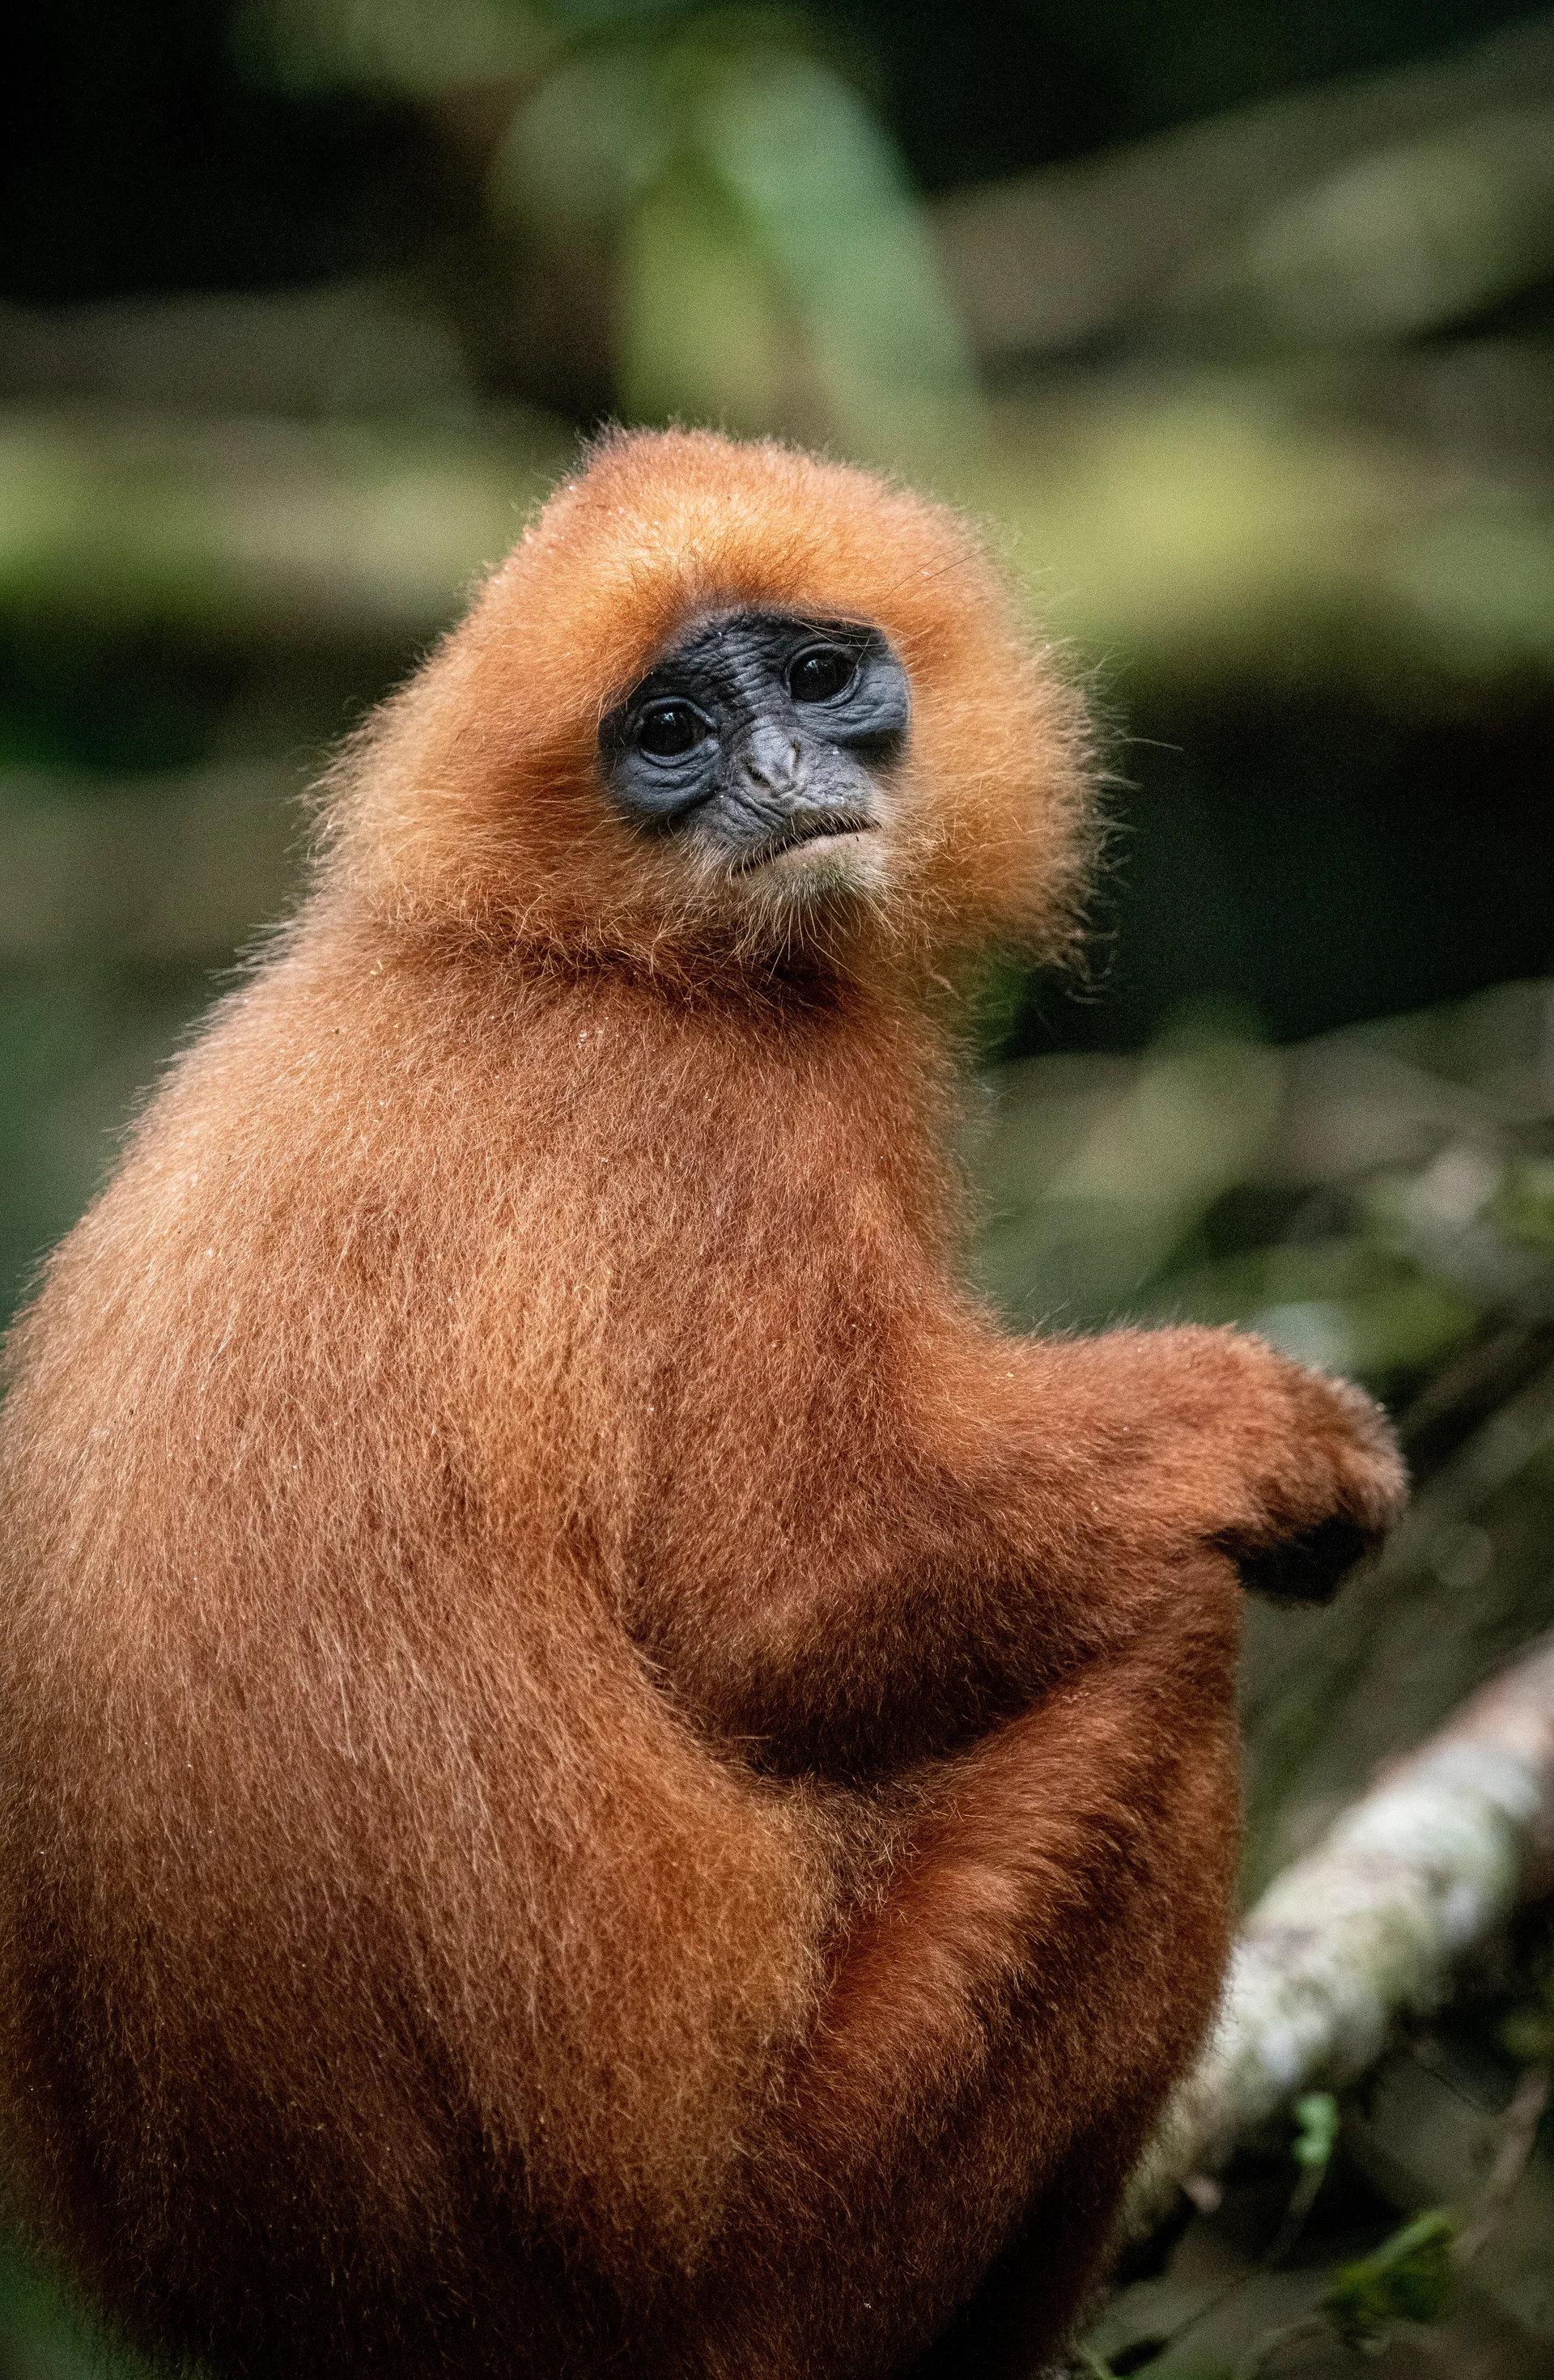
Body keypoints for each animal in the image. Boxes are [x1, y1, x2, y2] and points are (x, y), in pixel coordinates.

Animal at [0, 427, 1405, 2380]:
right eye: (672, 730)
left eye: (815, 679)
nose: (773, 774)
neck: (554, 951)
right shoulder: (729, 1116)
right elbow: (785, 1609)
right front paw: (1282, 1439)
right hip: (793, 2235)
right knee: (1162, 1651)